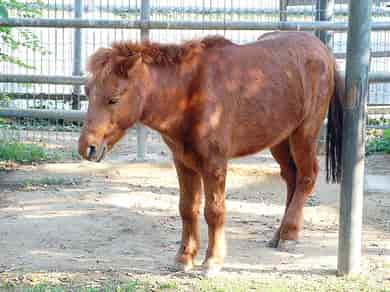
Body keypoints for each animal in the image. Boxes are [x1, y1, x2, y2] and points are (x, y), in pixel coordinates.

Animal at [77, 32, 342, 276]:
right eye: (87, 91)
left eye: (114, 98)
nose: (87, 147)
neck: (190, 93)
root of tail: (323, 50)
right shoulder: (183, 162)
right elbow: (187, 208)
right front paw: (184, 258)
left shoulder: (214, 165)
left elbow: (214, 211)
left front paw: (212, 261)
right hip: (279, 139)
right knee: (291, 178)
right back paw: (281, 233)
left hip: (303, 134)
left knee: (307, 177)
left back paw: (289, 235)